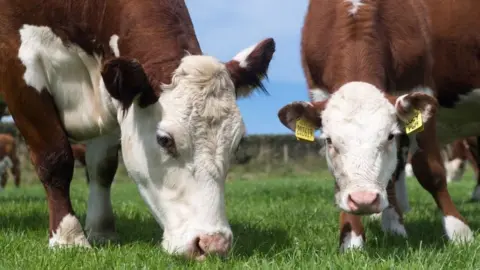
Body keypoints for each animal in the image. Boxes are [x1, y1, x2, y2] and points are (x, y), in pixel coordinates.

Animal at [0, 0, 276, 260]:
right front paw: (69, 237)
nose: (213, 244)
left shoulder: (114, 98)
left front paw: (102, 231)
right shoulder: (19, 67)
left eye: (237, 143)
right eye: (165, 140)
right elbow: (55, 159)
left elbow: (102, 168)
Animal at [278, 0, 476, 252]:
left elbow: (430, 171)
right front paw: (352, 238)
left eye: (389, 136)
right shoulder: (318, 90)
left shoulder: (419, 86)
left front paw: (459, 231)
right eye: (329, 140)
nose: (363, 200)